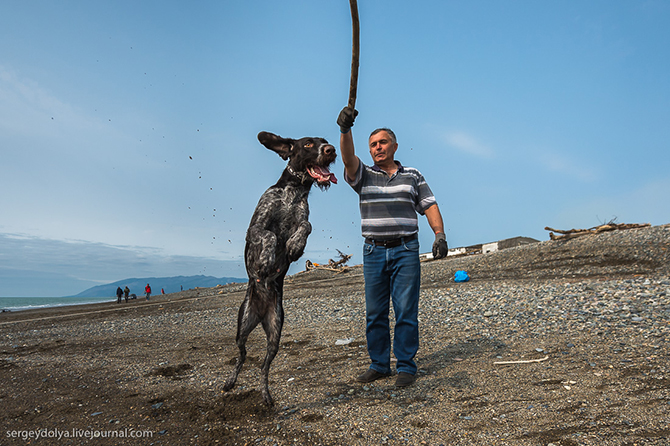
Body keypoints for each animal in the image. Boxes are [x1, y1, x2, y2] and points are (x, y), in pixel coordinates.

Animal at [224, 131, 338, 406]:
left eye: (325, 141)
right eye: (308, 143)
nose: (331, 150)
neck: (294, 191)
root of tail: (260, 312)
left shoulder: (303, 218)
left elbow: (306, 226)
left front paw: (295, 245)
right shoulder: (255, 227)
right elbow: (270, 235)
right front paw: (266, 260)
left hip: (275, 333)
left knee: (263, 367)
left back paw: (266, 394)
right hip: (242, 326)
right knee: (242, 356)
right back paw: (231, 381)